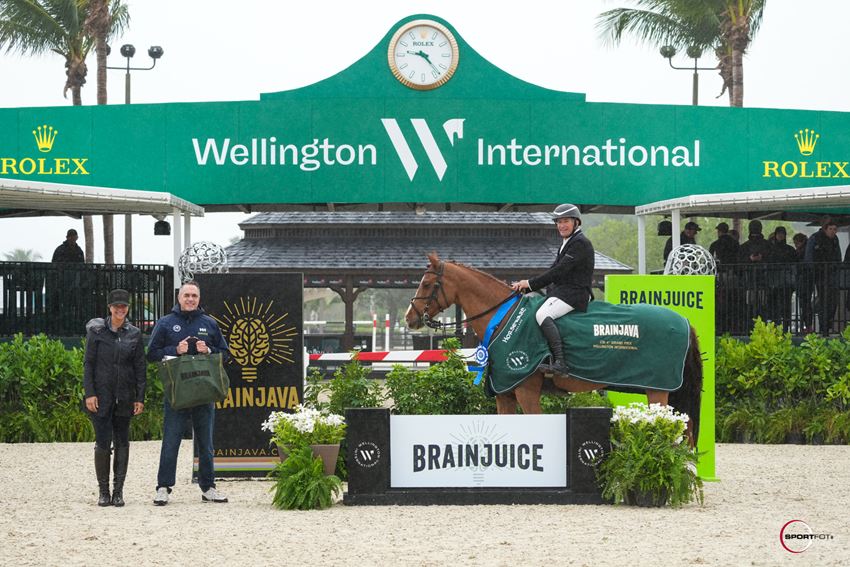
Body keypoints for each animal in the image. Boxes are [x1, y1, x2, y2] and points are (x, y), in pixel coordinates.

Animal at [404, 255, 704, 446]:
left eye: (427, 284)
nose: (409, 318)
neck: (503, 317)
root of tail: (684, 320)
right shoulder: (505, 393)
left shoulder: (526, 391)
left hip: (658, 391)